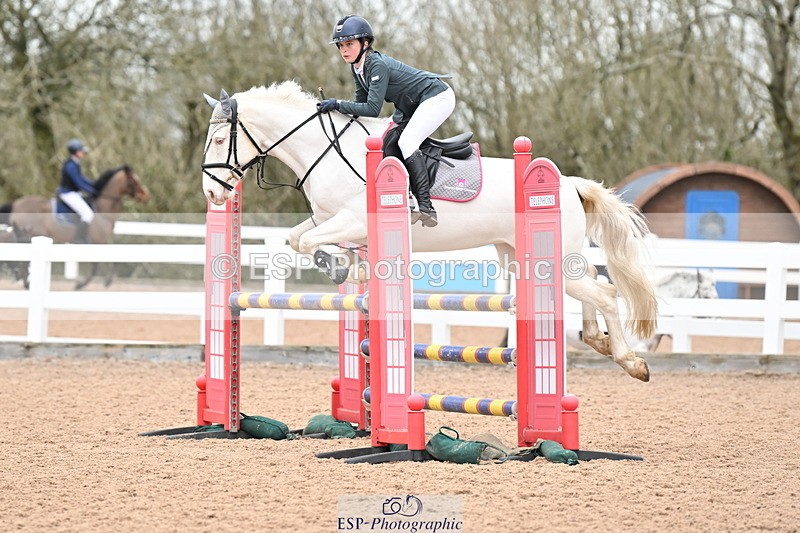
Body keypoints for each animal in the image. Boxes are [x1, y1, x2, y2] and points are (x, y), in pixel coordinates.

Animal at [0, 164, 150, 289]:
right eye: (132, 180)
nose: (145, 195)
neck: (102, 209)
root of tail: (15, 204)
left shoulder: (102, 242)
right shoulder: (99, 241)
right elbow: (99, 264)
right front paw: (85, 284)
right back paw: (25, 281)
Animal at [200, 81, 658, 382]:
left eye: (220, 139)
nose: (212, 192)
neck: (324, 151)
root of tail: (568, 183)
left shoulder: (354, 218)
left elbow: (310, 242)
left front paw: (343, 269)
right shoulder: (328, 217)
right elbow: (299, 238)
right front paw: (349, 265)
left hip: (549, 258)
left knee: (606, 292)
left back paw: (630, 361)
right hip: (523, 256)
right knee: (593, 282)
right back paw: (597, 339)